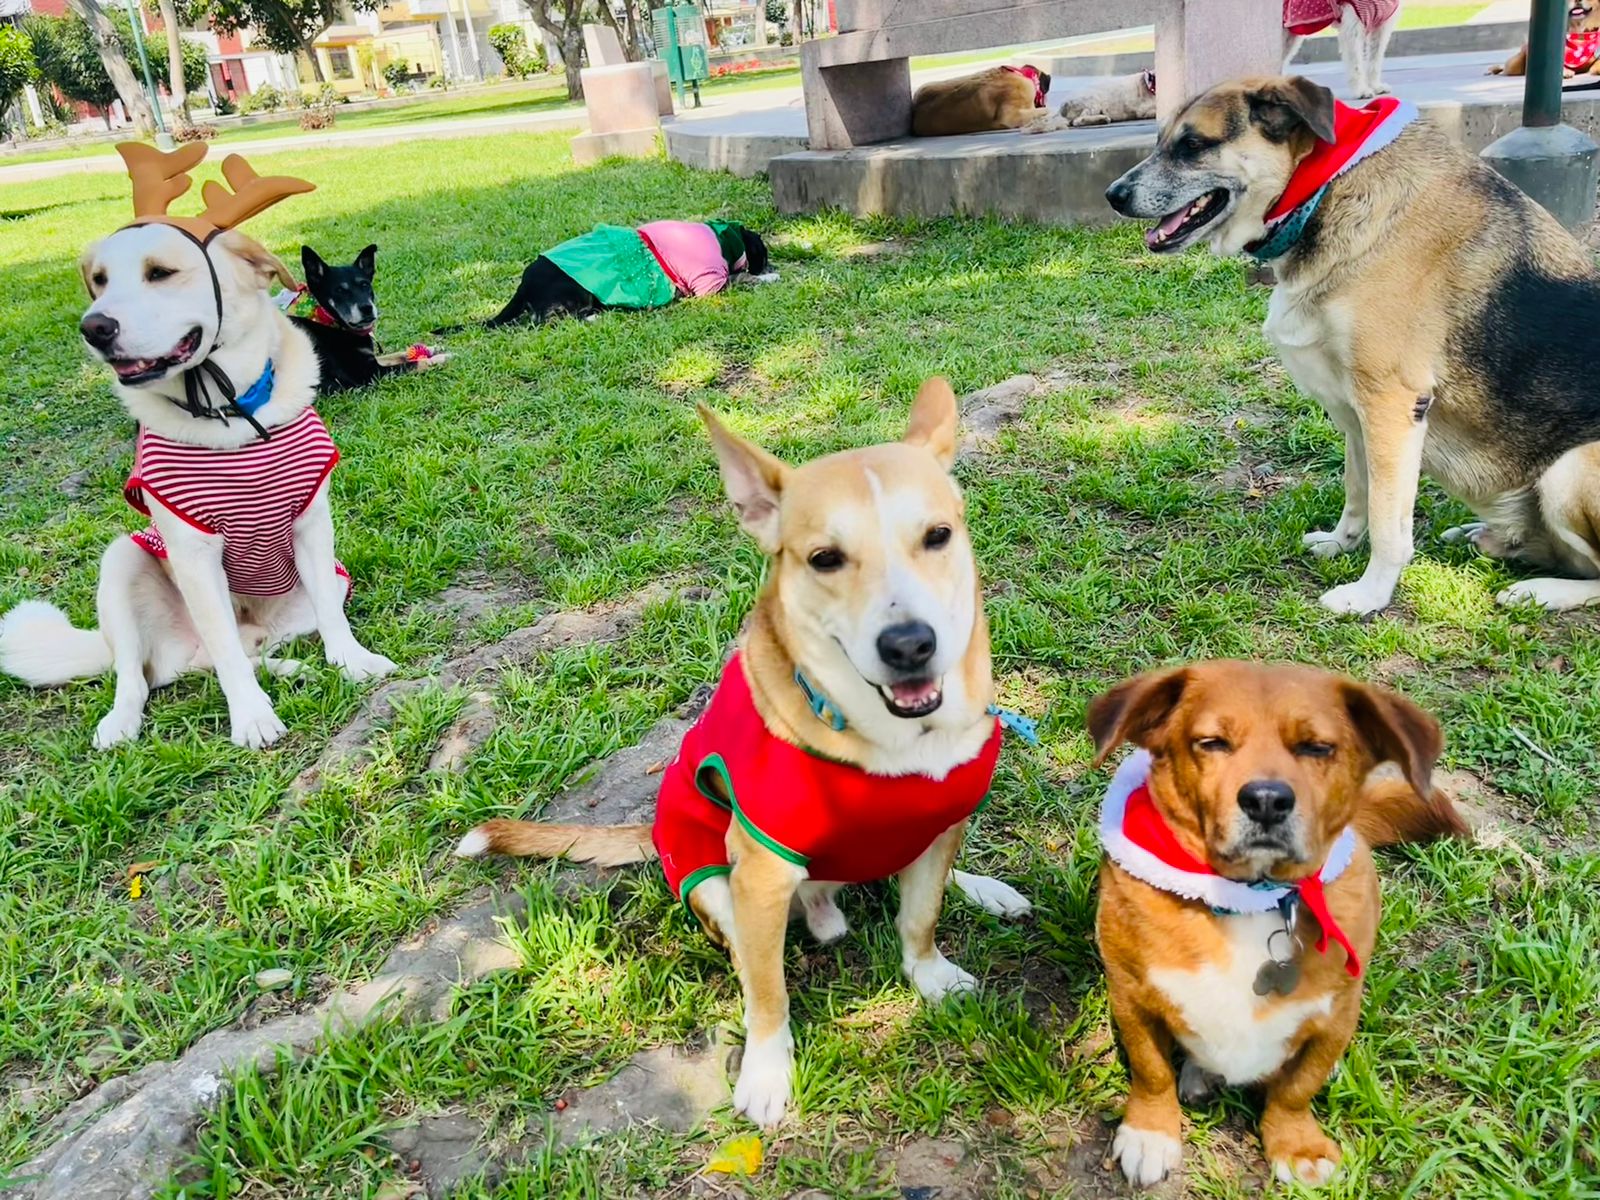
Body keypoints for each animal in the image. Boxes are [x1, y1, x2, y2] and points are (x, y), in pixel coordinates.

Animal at [0, 138, 396, 742]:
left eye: (160, 272)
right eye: (99, 279)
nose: (94, 327)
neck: (232, 416)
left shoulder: (312, 526)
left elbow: (332, 619)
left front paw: (353, 663)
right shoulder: (191, 553)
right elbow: (224, 652)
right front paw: (252, 718)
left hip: (320, 586)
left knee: (241, 652)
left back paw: (296, 668)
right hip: (123, 564)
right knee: (153, 672)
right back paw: (122, 722)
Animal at [284, 241, 448, 392]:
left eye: (365, 285)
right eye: (340, 291)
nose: (367, 308)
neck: (328, 320)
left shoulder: (372, 360)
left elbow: (397, 354)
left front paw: (432, 348)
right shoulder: (369, 374)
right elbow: (412, 364)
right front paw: (441, 358)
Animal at [1088, 662, 1465, 1190]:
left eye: (1316, 747)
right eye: (1212, 742)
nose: (1266, 800)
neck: (1249, 900)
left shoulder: (1336, 1017)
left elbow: (1296, 1088)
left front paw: (1297, 1145)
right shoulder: (1131, 994)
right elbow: (1151, 1070)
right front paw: (1151, 1133)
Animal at [1113, 76, 1600, 614]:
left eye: (1193, 145)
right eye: (1161, 141)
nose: (1114, 194)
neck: (1324, 189)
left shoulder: (1390, 405)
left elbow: (1389, 521)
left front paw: (1370, 594)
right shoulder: (1355, 410)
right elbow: (1358, 490)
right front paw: (1340, 544)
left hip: (1572, 467)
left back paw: (1543, 590)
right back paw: (1485, 537)